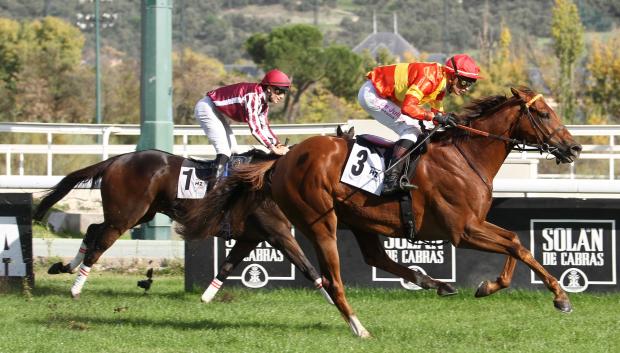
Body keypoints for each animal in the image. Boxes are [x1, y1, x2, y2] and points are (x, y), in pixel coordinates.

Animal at [33, 148, 330, 300]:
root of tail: (116, 159)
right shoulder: (278, 232)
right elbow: (308, 267)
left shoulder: (252, 236)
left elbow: (227, 266)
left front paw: (207, 297)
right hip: (126, 216)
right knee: (99, 244)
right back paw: (76, 287)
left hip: (138, 214)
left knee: (93, 230)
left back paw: (65, 267)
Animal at [182, 87, 584, 336]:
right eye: (544, 113)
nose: (575, 148)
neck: (465, 155)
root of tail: (282, 160)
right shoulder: (462, 229)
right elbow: (517, 244)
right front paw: (560, 297)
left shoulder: (475, 224)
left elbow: (515, 241)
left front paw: (489, 286)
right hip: (320, 221)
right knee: (335, 280)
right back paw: (359, 327)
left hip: (360, 219)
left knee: (378, 258)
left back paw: (436, 284)